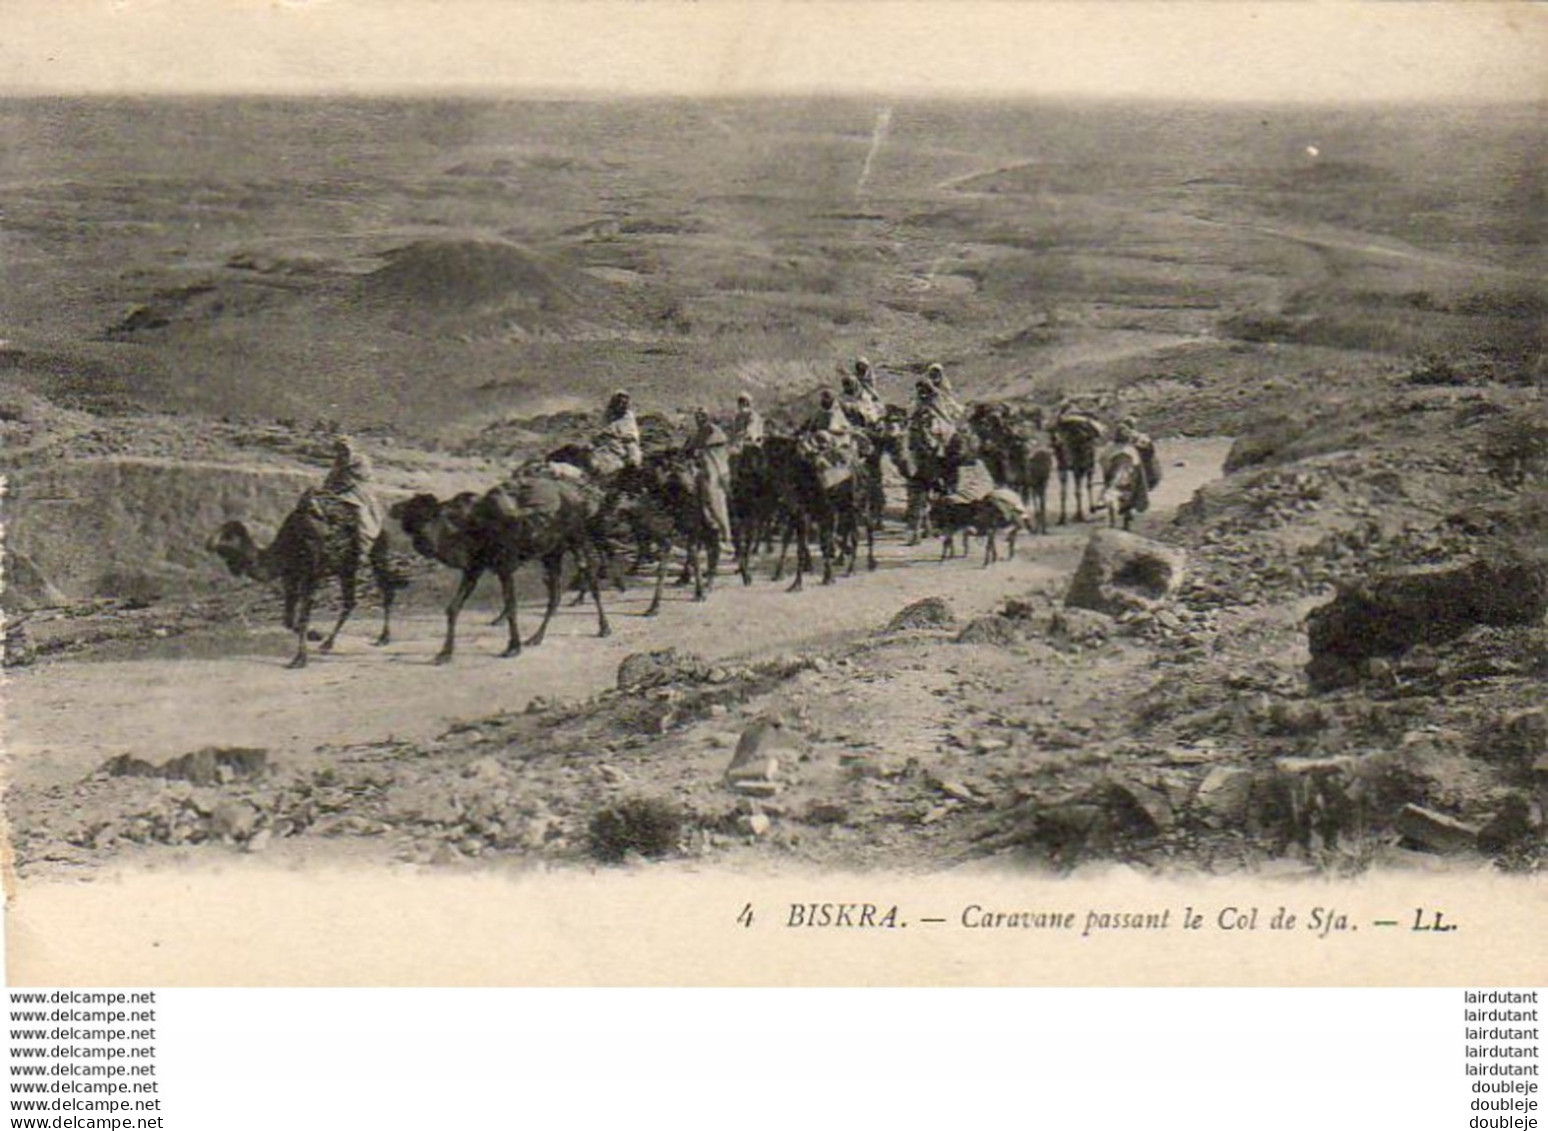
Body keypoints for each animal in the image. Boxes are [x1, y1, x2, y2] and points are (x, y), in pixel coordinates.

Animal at [393, 476, 609, 662]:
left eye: (432, 517)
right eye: (407, 524)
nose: (423, 544)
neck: (469, 528)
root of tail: (577, 494)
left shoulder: (505, 567)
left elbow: (511, 605)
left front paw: (513, 647)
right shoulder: (473, 569)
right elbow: (453, 608)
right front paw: (444, 653)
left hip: (577, 538)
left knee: (590, 575)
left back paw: (604, 628)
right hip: (551, 553)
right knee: (554, 593)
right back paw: (536, 637)